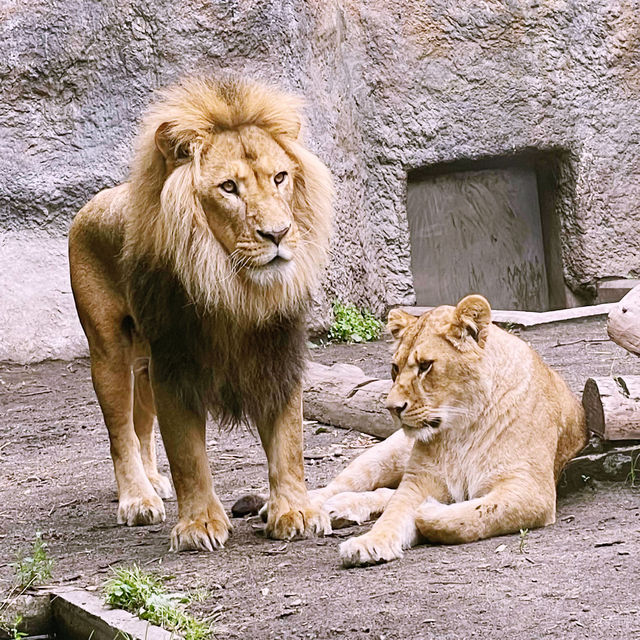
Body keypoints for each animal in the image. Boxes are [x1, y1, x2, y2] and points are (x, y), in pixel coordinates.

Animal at [69, 77, 336, 552]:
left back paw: (154, 480)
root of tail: (91, 203)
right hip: (108, 352)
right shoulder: (175, 365)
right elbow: (187, 453)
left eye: (280, 177)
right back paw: (137, 498)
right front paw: (199, 525)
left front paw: (296, 512)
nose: (278, 233)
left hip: (144, 361)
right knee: (121, 431)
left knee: (141, 425)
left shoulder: (278, 354)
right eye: (228, 187)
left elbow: (289, 443)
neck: (236, 289)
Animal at [308, 296, 588, 564]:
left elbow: (470, 515)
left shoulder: (530, 488)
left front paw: (429, 509)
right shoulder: (419, 480)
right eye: (395, 367)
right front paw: (369, 543)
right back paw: (316, 512)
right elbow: (393, 515)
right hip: (383, 456)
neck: (463, 427)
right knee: (336, 487)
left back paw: (340, 509)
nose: (392, 407)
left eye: (425, 365)